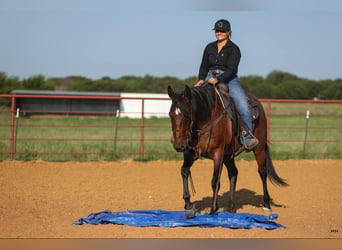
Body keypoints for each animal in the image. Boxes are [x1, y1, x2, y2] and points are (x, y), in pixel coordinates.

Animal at [167, 83, 288, 217]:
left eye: (186, 115)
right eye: (170, 115)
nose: (178, 145)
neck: (207, 120)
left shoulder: (218, 154)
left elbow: (215, 181)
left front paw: (213, 209)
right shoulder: (190, 153)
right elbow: (184, 171)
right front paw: (188, 206)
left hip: (259, 148)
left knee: (262, 172)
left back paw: (266, 204)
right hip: (228, 156)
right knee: (233, 172)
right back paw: (231, 206)